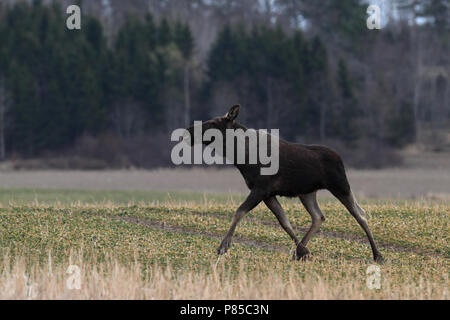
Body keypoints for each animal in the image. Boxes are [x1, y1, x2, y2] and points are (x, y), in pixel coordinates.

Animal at [186, 105, 384, 262]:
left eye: (212, 123)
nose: (188, 130)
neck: (241, 158)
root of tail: (340, 158)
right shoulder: (268, 194)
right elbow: (284, 222)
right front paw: (303, 252)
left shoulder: (261, 189)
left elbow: (239, 211)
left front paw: (223, 246)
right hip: (307, 192)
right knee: (318, 216)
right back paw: (302, 249)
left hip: (340, 185)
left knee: (360, 213)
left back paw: (377, 254)